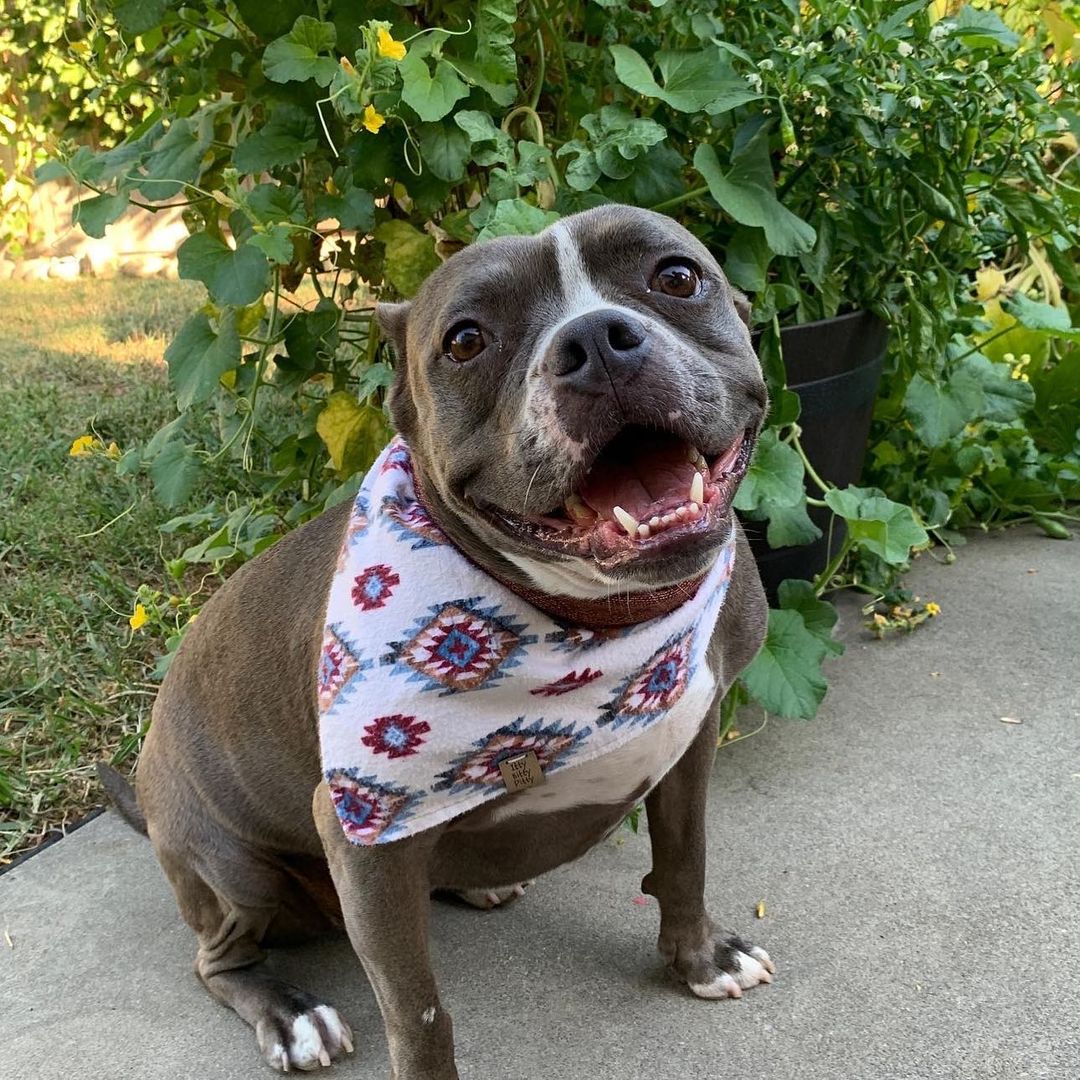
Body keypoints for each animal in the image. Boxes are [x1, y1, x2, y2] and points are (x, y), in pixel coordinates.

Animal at [101, 206, 773, 1075]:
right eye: (464, 341)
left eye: (677, 277)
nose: (596, 340)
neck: (604, 619)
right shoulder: (363, 844)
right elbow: (416, 1012)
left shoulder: (690, 742)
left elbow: (685, 857)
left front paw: (700, 958)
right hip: (235, 870)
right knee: (218, 960)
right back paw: (290, 1013)